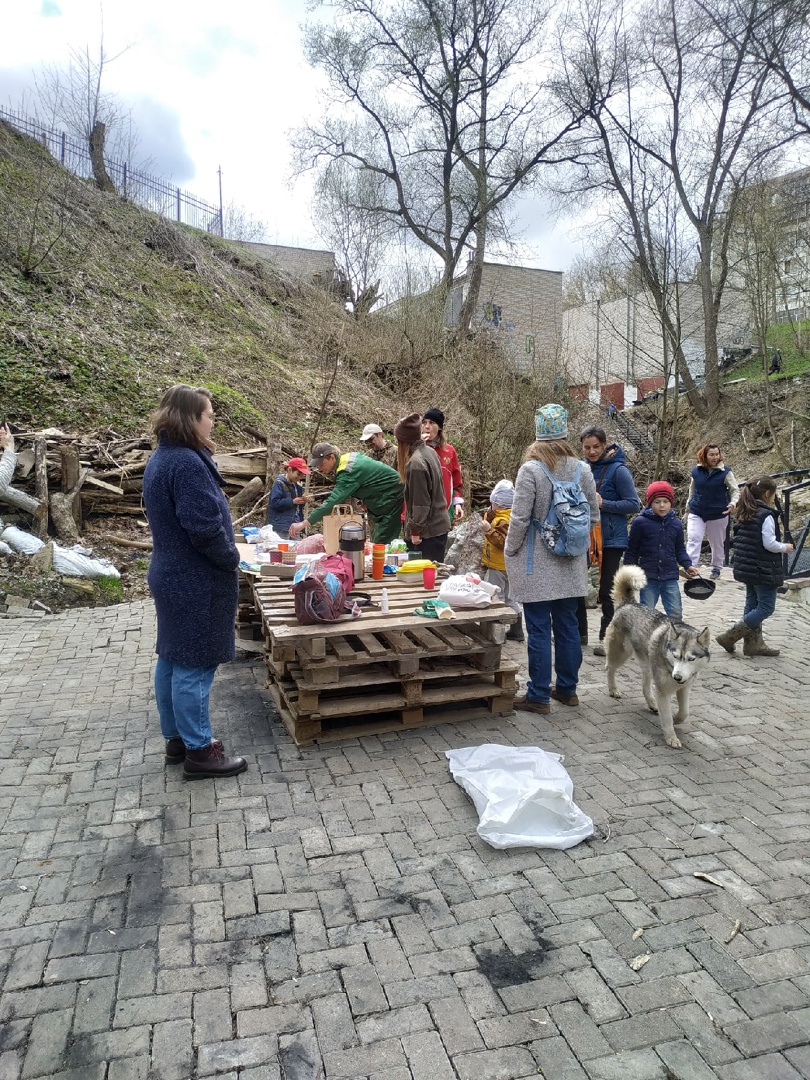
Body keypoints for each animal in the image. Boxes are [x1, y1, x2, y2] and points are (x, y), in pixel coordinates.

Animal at [604, 565, 712, 751]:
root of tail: (629, 603)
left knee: (645, 686)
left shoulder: (685, 688)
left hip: (647, 665)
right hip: (621, 654)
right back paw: (613, 689)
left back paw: (651, 703)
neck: (671, 669)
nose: (677, 677)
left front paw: (677, 719)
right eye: (676, 656)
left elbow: (684, 712)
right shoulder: (662, 691)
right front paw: (671, 737)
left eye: (691, 659)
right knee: (610, 668)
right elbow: (666, 717)